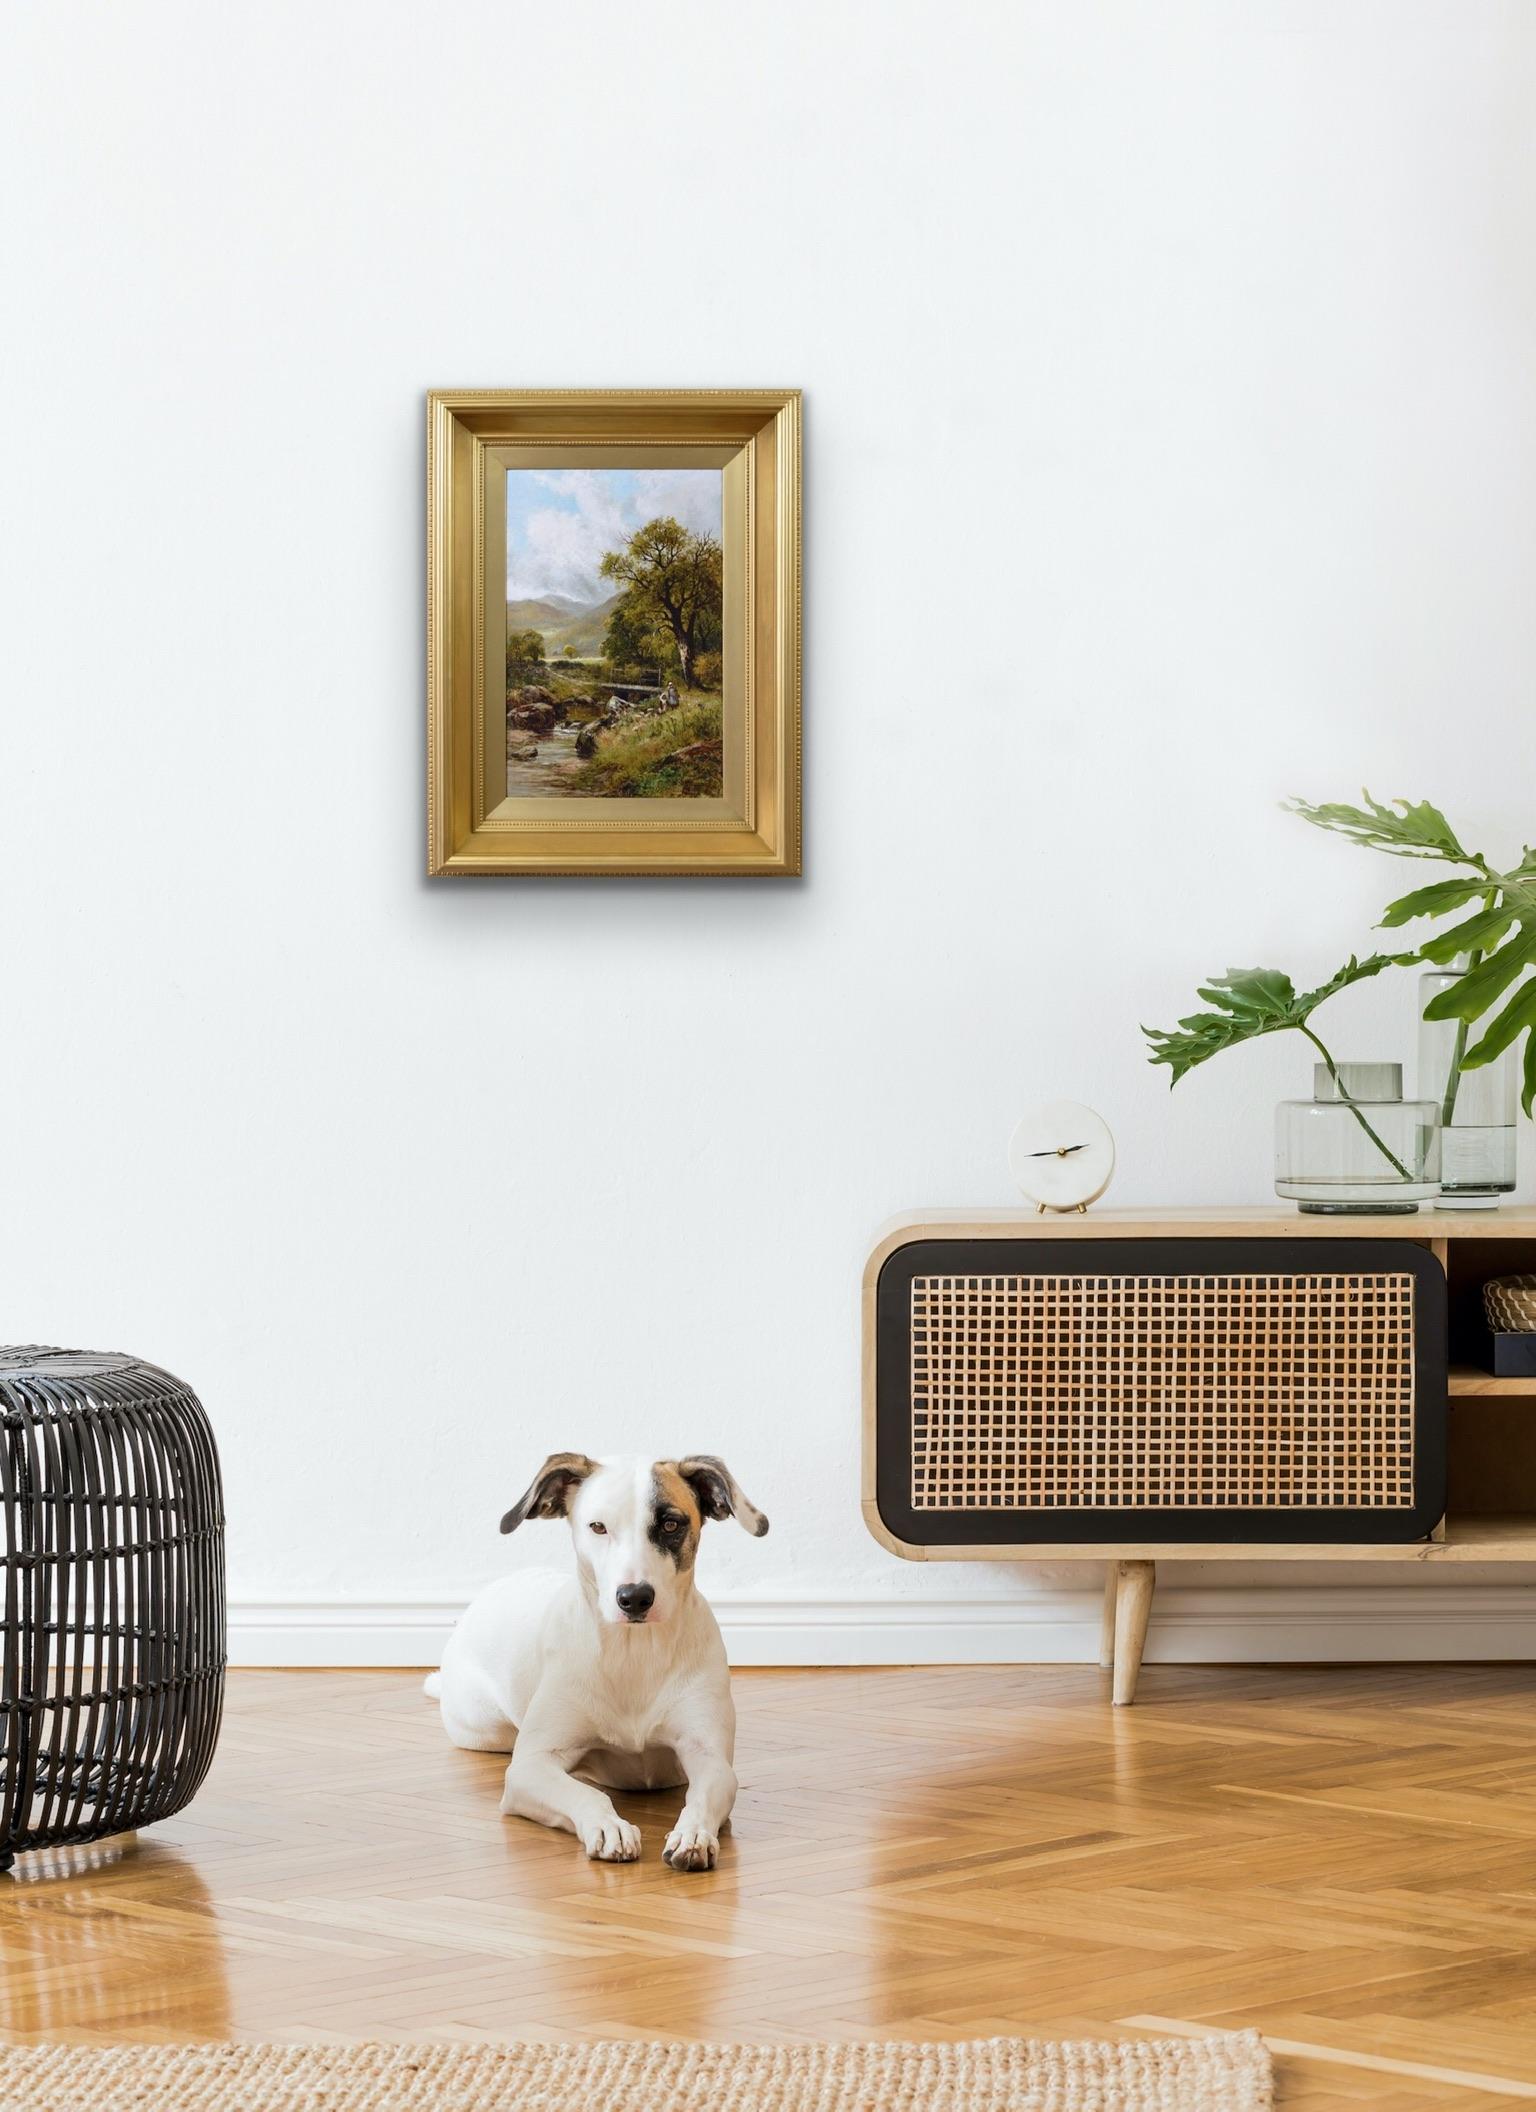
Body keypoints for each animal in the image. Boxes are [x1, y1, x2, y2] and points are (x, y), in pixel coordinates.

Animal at [426, 1453, 769, 1867]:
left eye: (671, 1524)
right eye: (598, 1527)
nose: (634, 1597)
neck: (634, 1651)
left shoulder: (711, 1758)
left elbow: (702, 1797)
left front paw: (694, 1835)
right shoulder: (528, 1768)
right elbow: (585, 1792)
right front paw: (609, 1826)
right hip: (483, 1729)